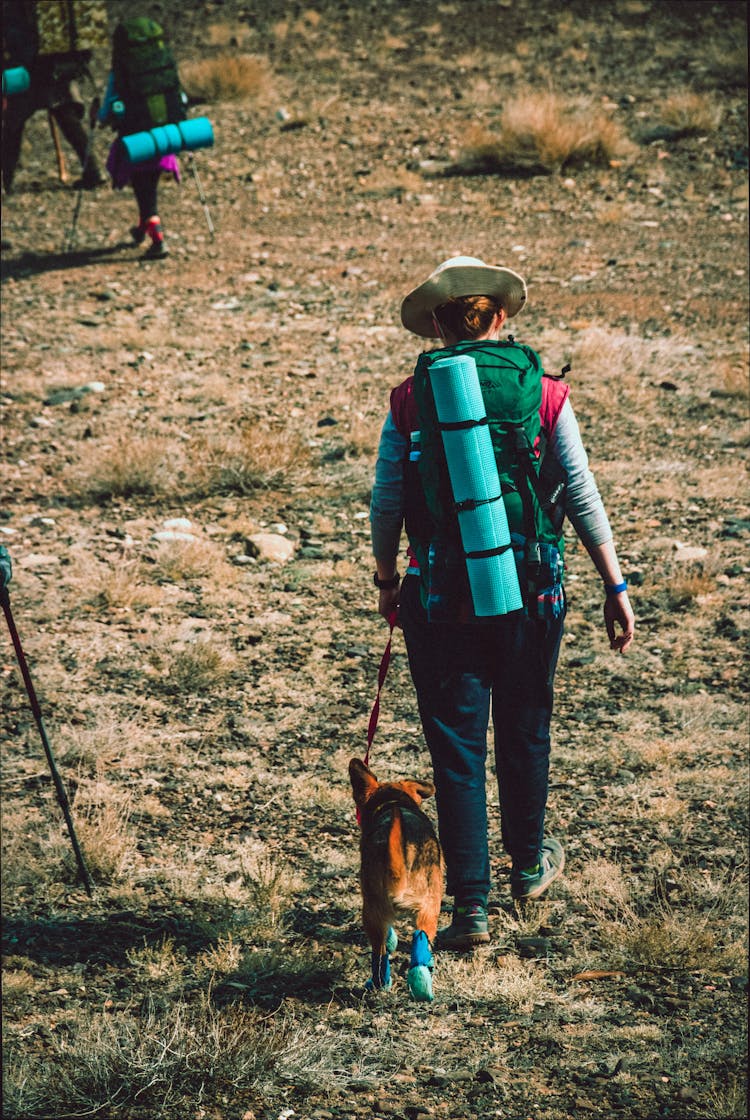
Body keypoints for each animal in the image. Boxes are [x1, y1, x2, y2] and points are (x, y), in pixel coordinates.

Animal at [349, 757, 443, 1003]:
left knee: (380, 953)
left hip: (371, 912)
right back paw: (421, 985)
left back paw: (379, 983)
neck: (393, 802)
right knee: (420, 941)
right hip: (429, 909)